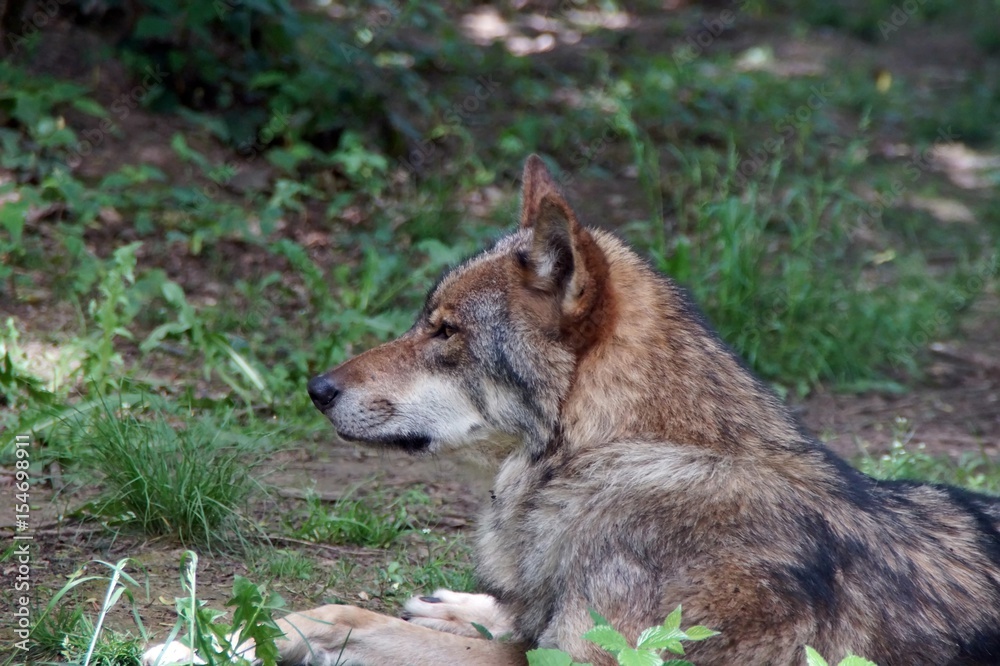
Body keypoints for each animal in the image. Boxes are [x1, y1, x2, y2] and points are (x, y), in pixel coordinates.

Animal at [145, 156, 1000, 666]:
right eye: (426, 321)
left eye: (444, 332)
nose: (317, 387)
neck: (615, 458)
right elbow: (339, 608)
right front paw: (217, 636)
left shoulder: (574, 657)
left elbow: (365, 620)